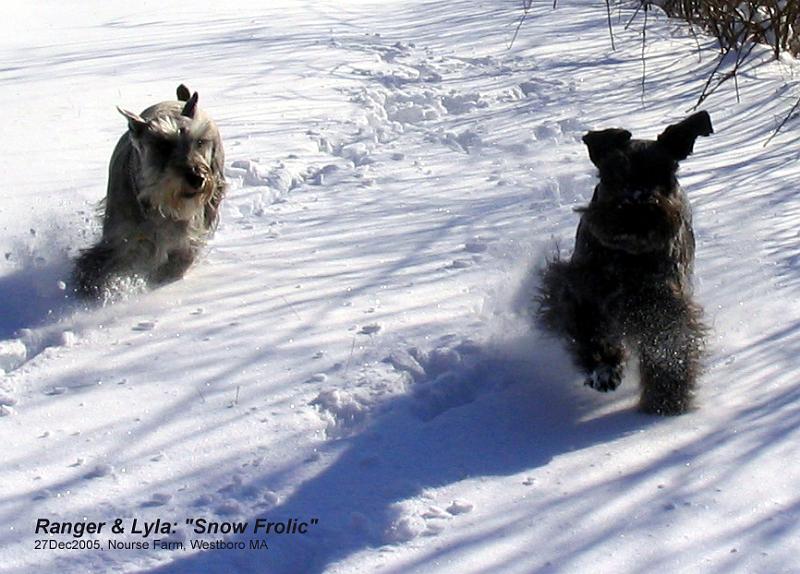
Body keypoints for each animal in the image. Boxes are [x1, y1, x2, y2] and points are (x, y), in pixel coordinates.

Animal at [74, 85, 225, 302]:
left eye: (199, 142)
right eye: (162, 145)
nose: (198, 178)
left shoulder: (185, 240)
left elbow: (177, 262)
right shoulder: (119, 239)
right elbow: (97, 264)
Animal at [536, 112, 712, 416]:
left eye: (667, 173)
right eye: (612, 173)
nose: (636, 207)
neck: (629, 256)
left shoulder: (664, 305)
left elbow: (670, 348)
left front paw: (666, 399)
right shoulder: (581, 289)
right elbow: (588, 327)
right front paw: (604, 367)